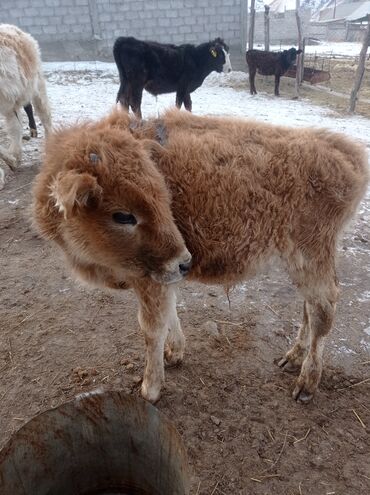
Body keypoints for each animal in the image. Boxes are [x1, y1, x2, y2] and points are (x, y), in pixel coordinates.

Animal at [33, 108, 368, 404]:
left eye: (164, 197)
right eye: (123, 215)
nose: (186, 261)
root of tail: (345, 151)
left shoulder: (150, 279)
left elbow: (152, 328)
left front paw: (150, 388)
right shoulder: (164, 276)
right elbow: (171, 312)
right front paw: (175, 353)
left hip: (311, 256)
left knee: (322, 311)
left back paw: (306, 384)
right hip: (300, 263)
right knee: (308, 308)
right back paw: (292, 358)